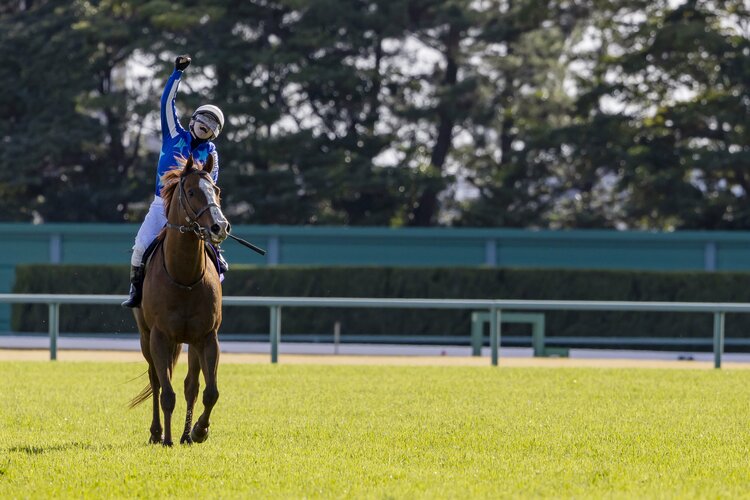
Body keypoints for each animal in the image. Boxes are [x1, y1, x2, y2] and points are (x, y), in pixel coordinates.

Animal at [130, 154, 229, 448]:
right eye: (192, 191)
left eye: (216, 190)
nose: (220, 226)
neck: (184, 277)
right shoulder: (159, 336)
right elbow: (166, 393)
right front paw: (166, 439)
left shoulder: (207, 337)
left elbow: (209, 392)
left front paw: (199, 431)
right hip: (145, 337)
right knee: (156, 381)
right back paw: (157, 433)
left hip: (191, 342)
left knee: (190, 386)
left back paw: (186, 434)